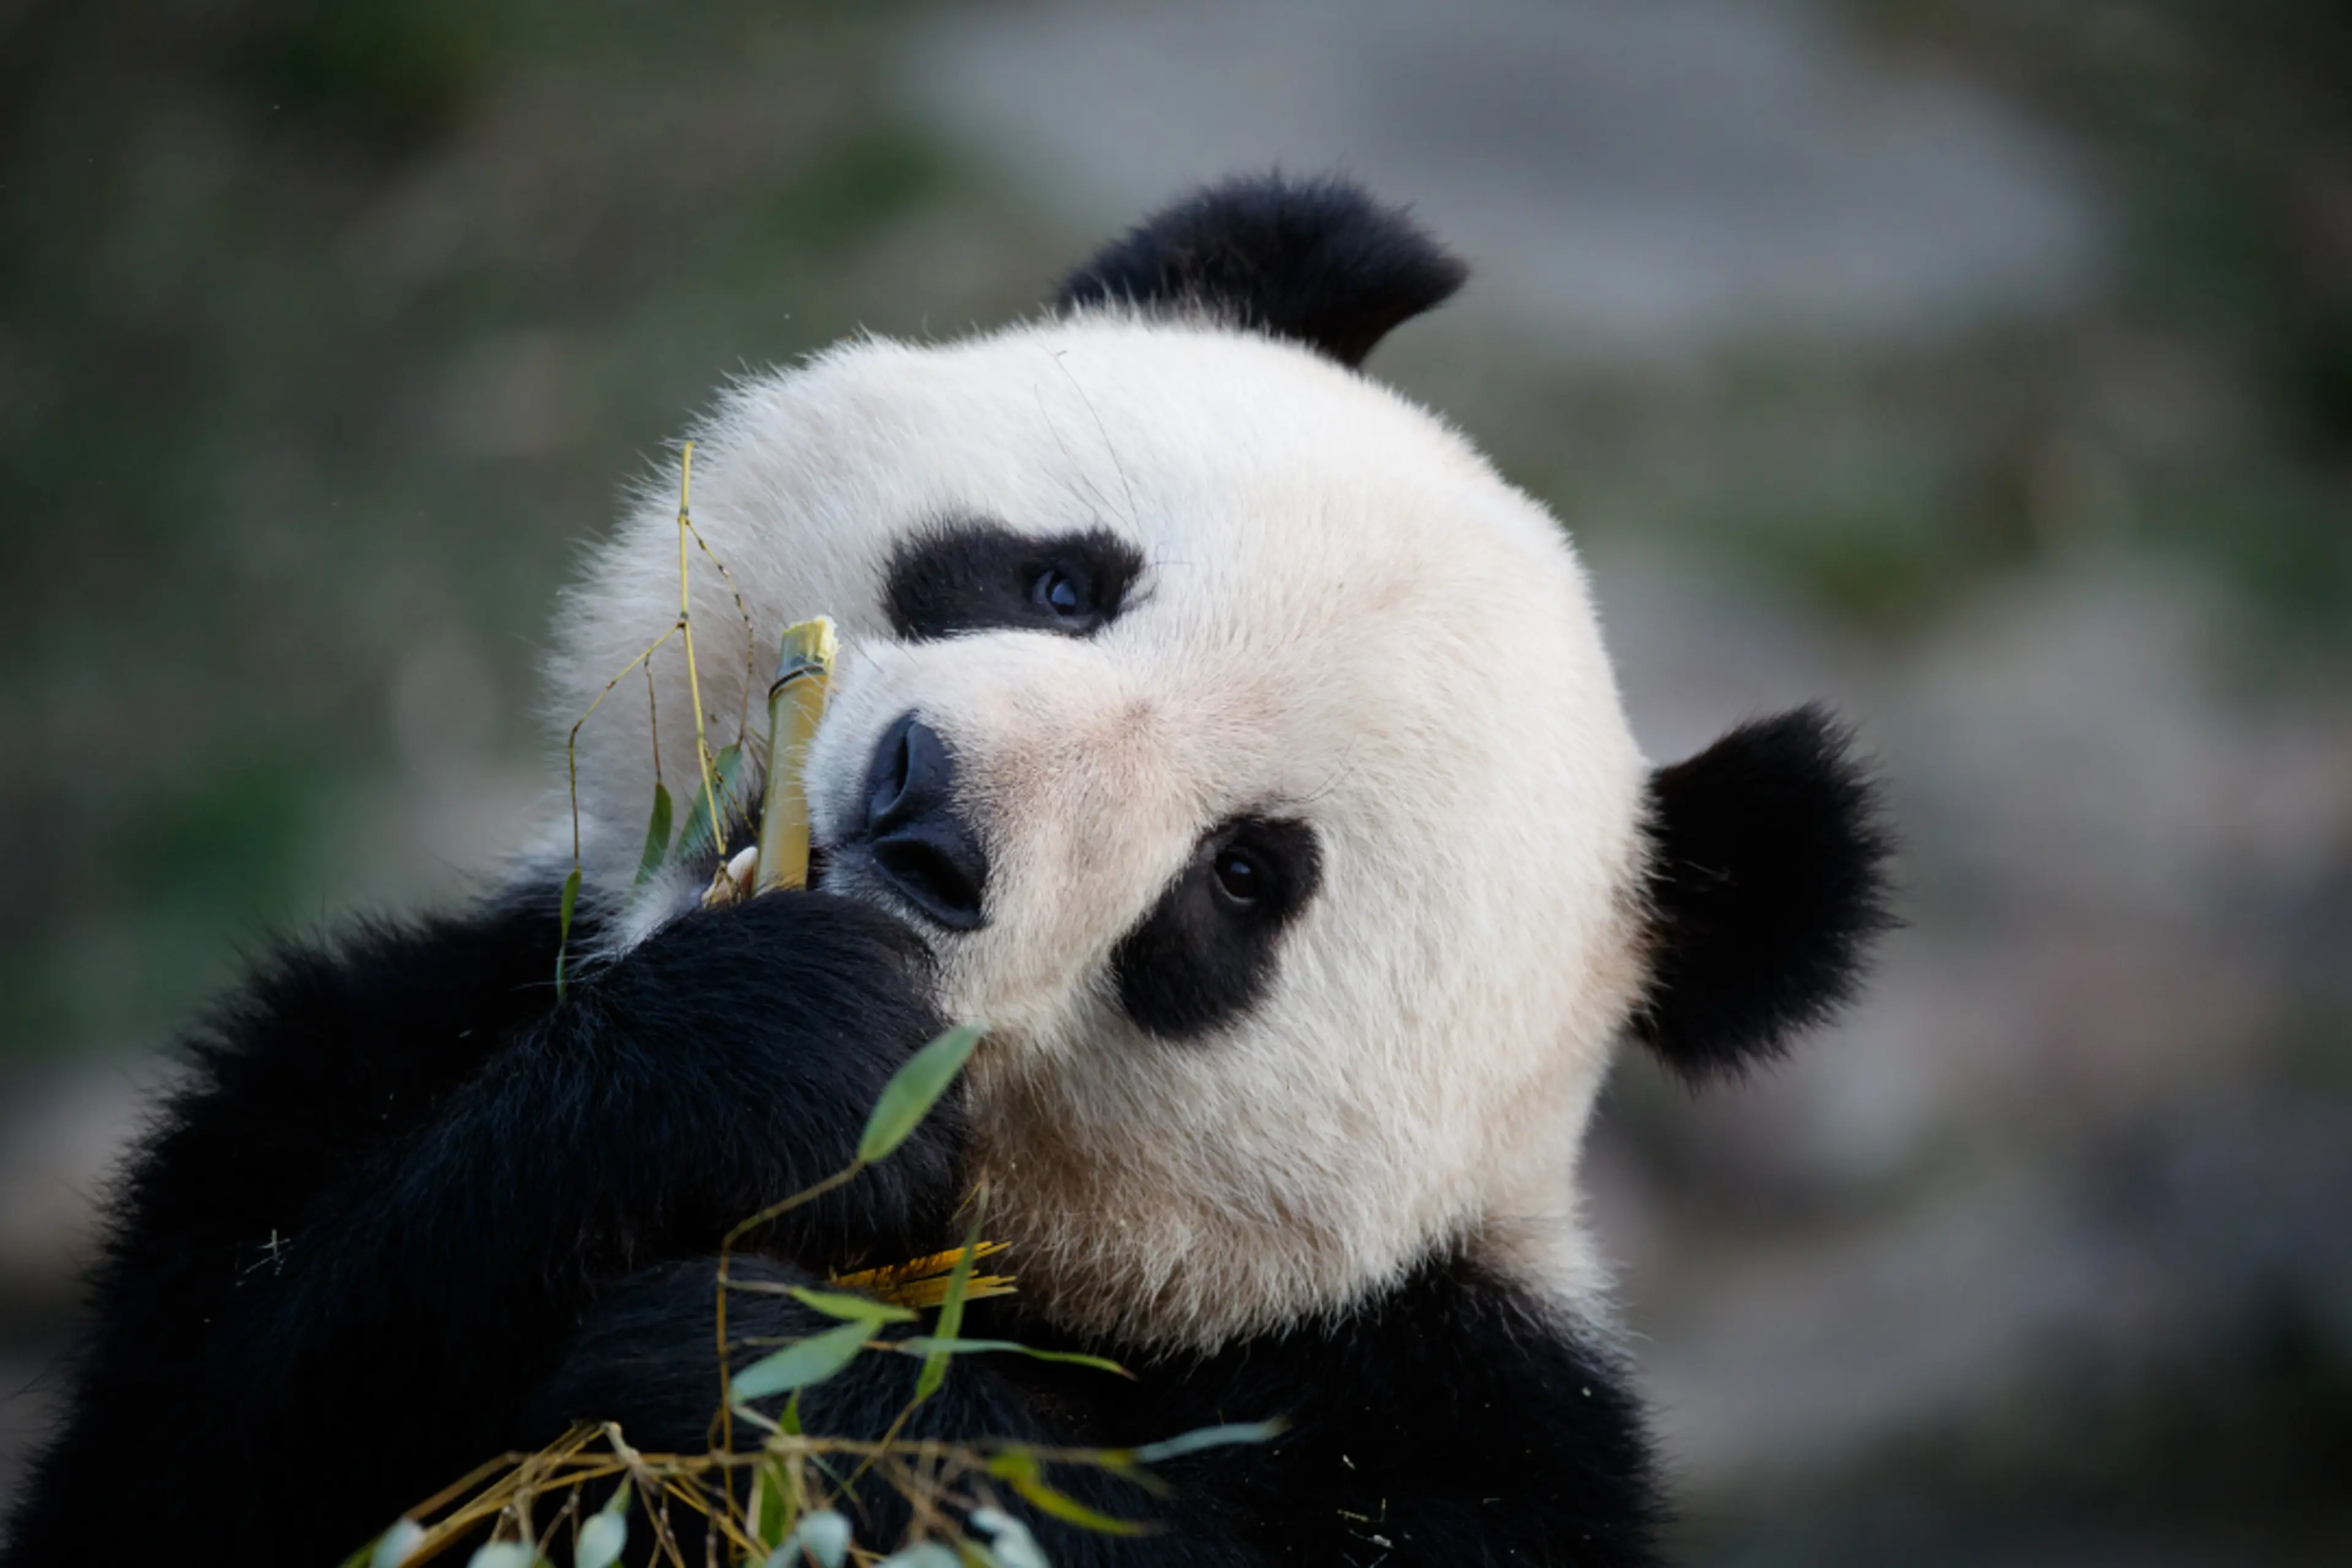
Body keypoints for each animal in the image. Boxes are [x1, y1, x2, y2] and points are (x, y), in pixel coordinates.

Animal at [3, 177, 1889, 1567]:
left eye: (1242, 881)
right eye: (1063, 581)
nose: (924, 818)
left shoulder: (1468, 1421)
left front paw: (757, 1381)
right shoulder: (373, 1050)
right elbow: (200, 1438)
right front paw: (763, 1067)